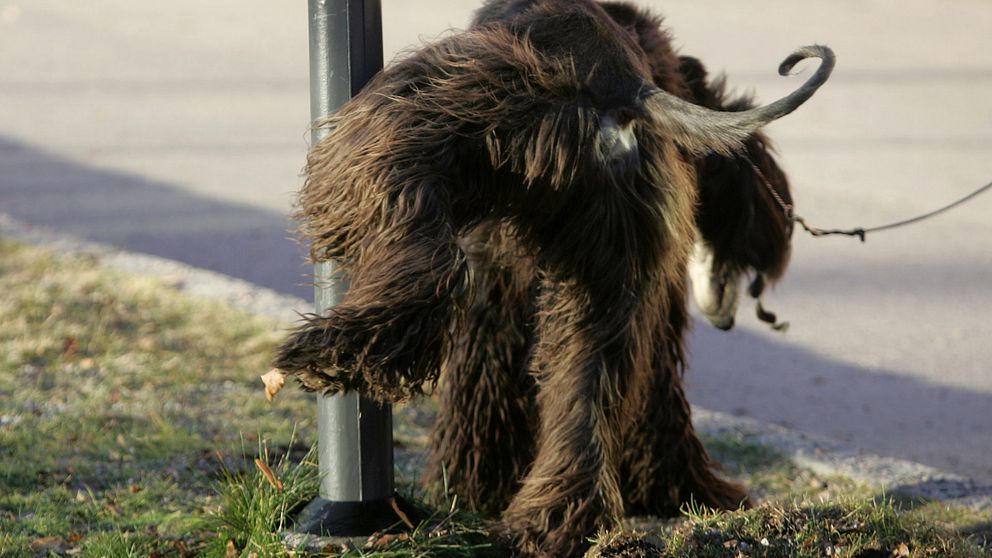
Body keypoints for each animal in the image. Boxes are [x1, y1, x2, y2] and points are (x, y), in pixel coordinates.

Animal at [274, 2, 828, 556]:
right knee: (588, 387)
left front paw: (467, 487)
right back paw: (554, 523)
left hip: (416, 131)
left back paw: (337, 356)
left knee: (429, 262)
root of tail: (619, 82)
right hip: (608, 263)